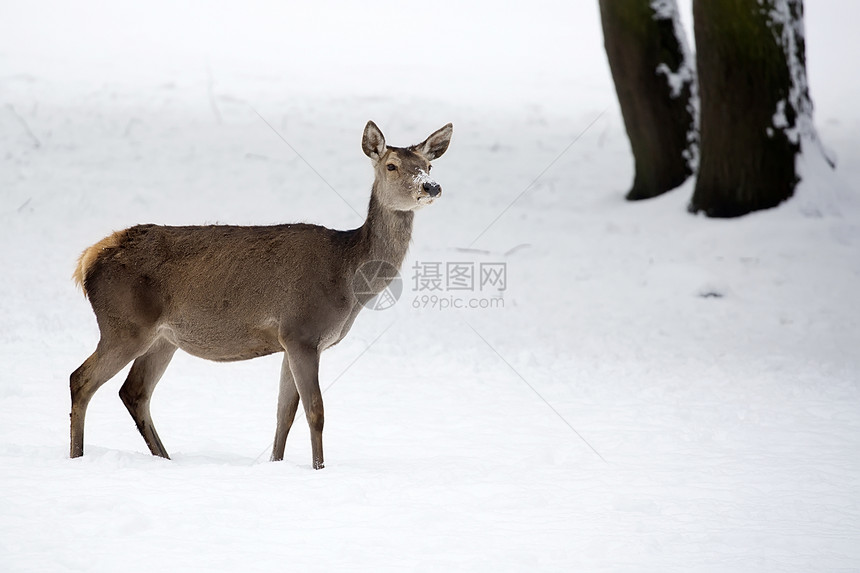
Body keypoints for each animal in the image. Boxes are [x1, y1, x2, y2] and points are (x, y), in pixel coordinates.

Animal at [70, 120, 454, 470]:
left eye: (429, 165)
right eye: (392, 165)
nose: (431, 186)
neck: (347, 279)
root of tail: (87, 260)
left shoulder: (290, 341)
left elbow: (284, 413)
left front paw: (276, 464)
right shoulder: (302, 331)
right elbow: (316, 411)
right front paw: (319, 469)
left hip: (162, 339)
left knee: (134, 392)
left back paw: (164, 459)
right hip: (124, 325)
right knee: (81, 380)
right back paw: (77, 457)